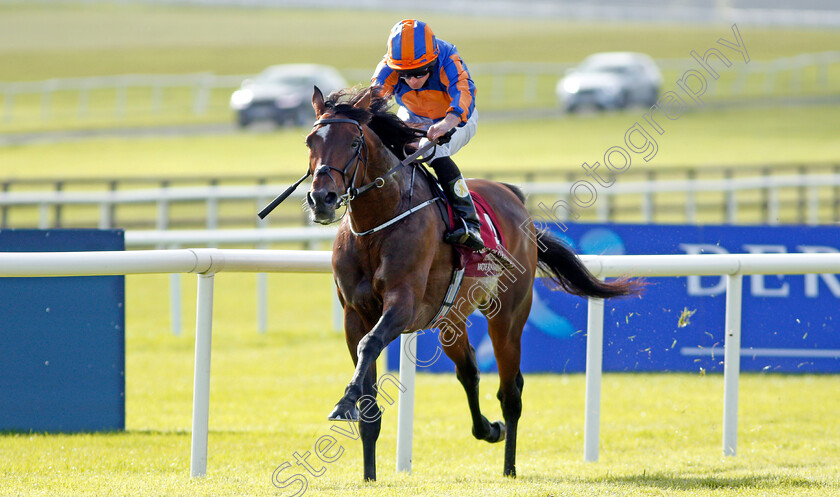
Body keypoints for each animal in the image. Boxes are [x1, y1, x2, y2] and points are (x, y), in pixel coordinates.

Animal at [306, 86, 640, 480]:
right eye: (310, 140)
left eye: (355, 142)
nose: (322, 198)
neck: (377, 225)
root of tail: (514, 196)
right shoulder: (354, 314)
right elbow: (369, 395)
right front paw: (369, 474)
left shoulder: (403, 304)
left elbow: (371, 343)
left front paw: (345, 402)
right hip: (451, 320)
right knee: (469, 372)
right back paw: (489, 429)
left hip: (507, 316)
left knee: (511, 392)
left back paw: (509, 465)